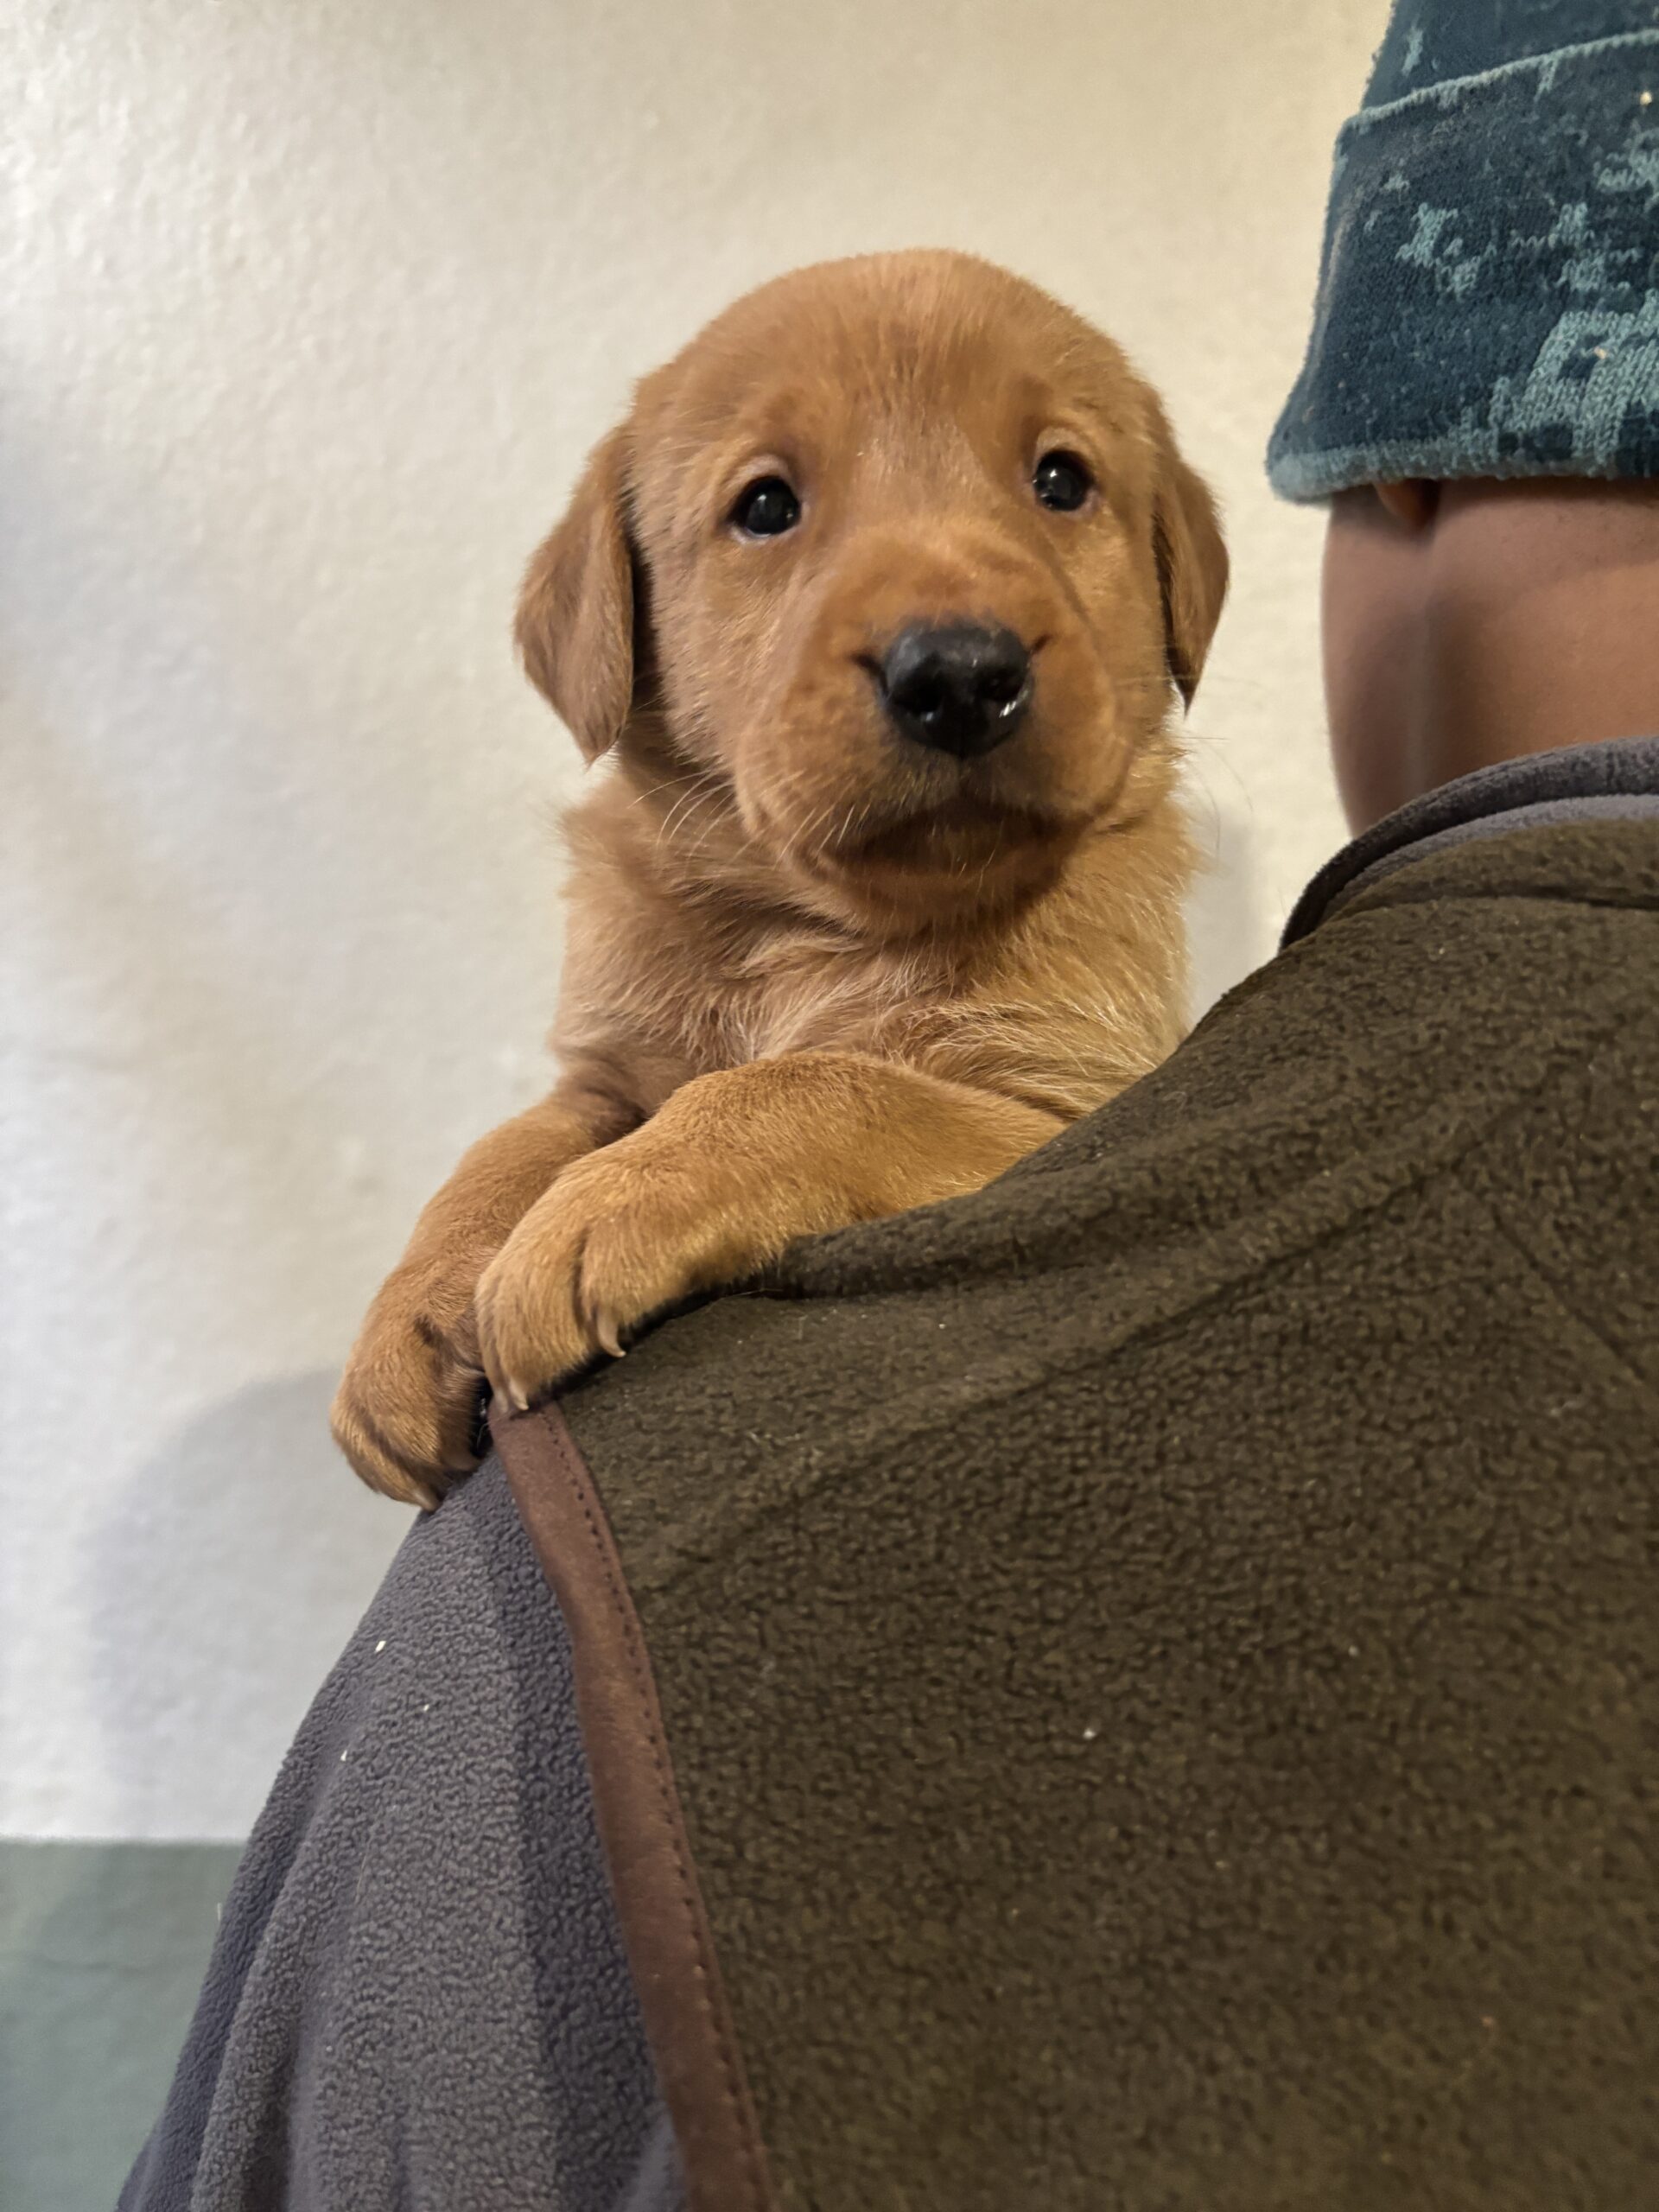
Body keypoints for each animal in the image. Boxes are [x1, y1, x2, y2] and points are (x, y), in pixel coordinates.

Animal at [331, 249, 1227, 1508]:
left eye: (1062, 479)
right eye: (765, 506)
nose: (961, 673)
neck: (802, 927)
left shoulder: (1067, 1106)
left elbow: (813, 1084)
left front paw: (597, 1212)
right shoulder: (605, 1075)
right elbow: (503, 1146)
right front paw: (411, 1313)